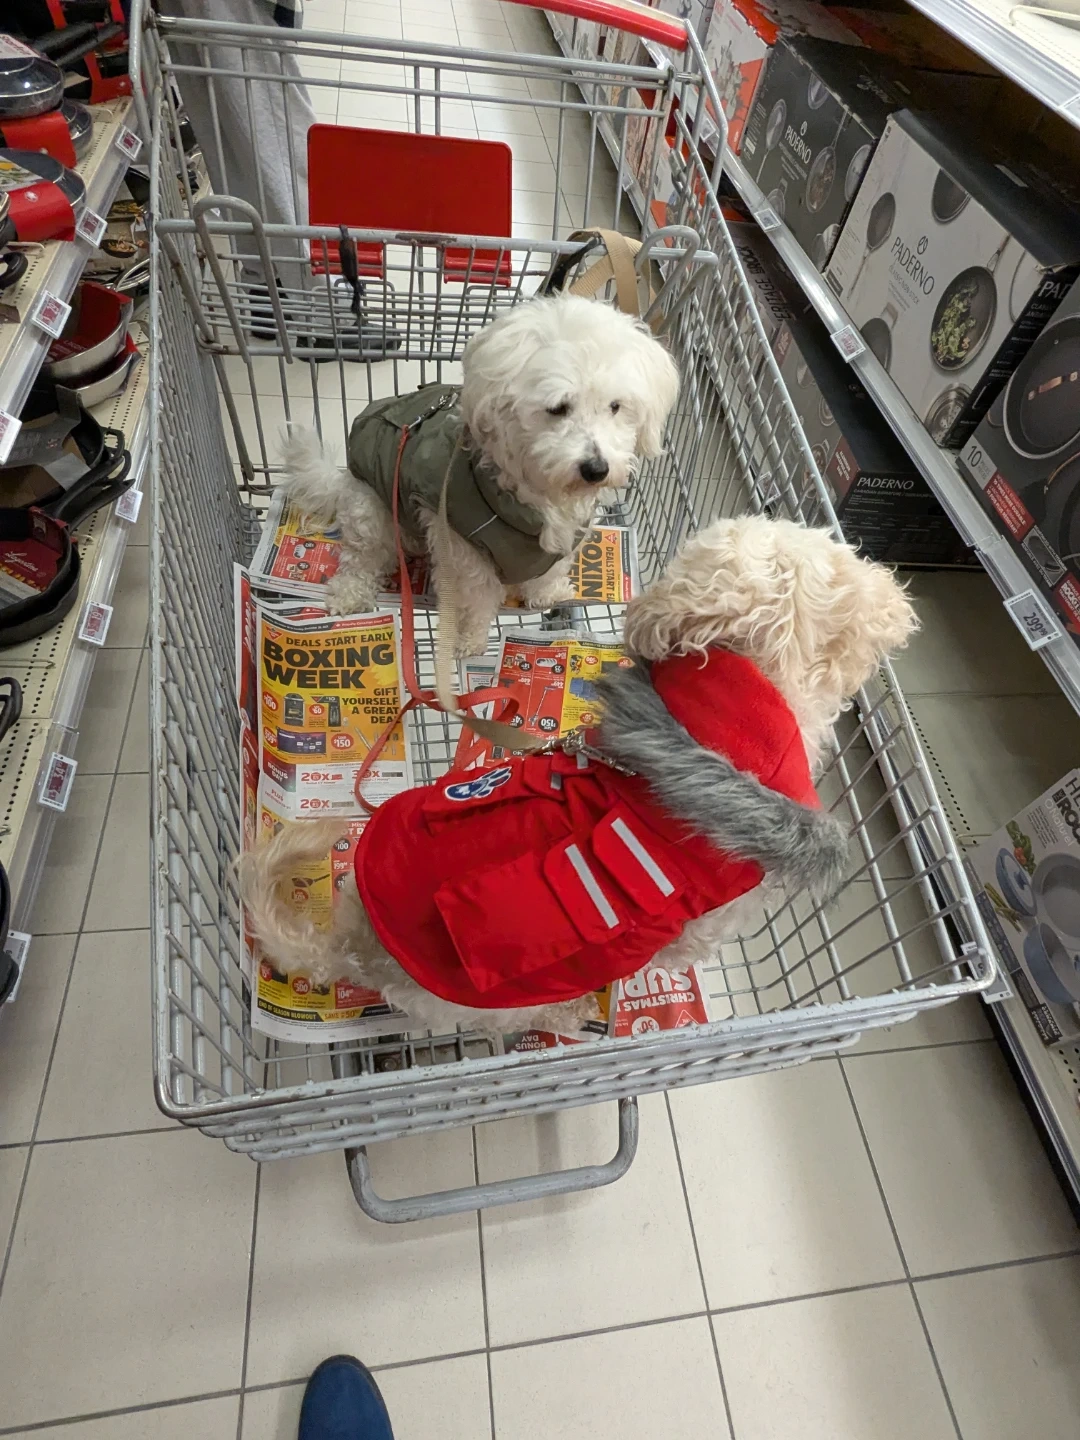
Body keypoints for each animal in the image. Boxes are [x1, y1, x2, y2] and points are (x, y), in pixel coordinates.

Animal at [281, 294, 680, 658]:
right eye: (558, 408)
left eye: (616, 407)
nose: (597, 469)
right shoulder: (461, 546)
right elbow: (473, 599)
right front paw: (465, 642)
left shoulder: (565, 539)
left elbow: (548, 573)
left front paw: (546, 595)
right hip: (370, 509)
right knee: (361, 558)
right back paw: (349, 594)